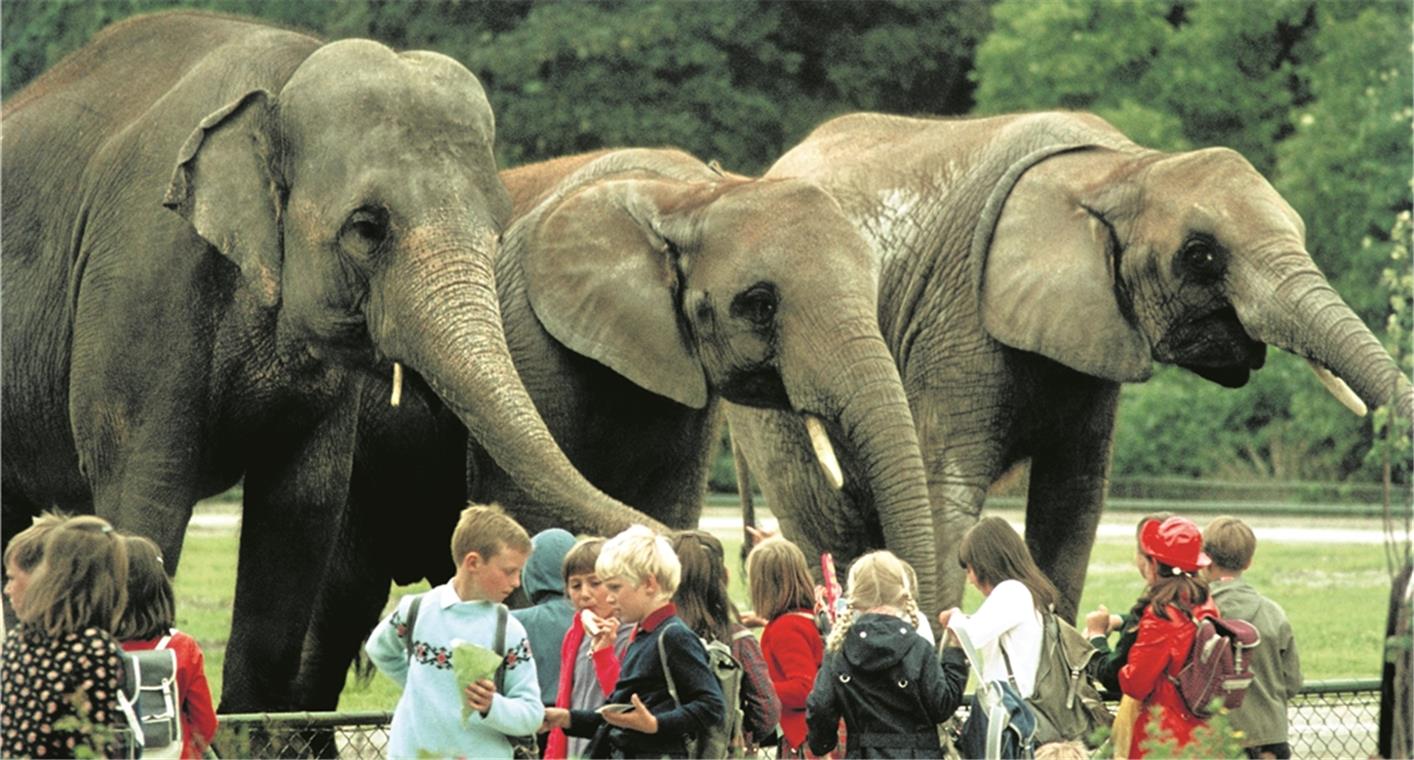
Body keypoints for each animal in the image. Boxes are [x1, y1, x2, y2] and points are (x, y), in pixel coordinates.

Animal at [0, 10, 650, 710]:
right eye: (366, 227)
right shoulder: (141, 280)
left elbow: (301, 513)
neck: (282, 77)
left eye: (497, 230)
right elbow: (149, 489)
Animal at [289, 146, 938, 704]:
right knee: (338, 604)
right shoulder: (529, 339)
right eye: (759, 304)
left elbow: (669, 501)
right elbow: (528, 516)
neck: (689, 196)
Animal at [729, 112, 1414, 622]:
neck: (1120, 167)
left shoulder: (1091, 337)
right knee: (828, 523)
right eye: (1200, 256)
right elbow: (945, 486)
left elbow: (1073, 498)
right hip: (773, 412)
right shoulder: (957, 322)